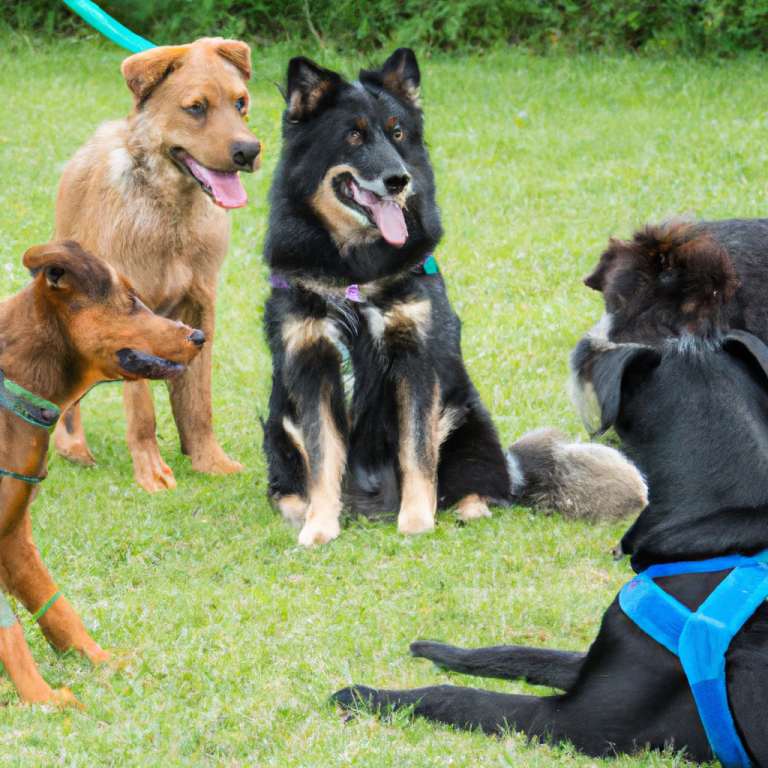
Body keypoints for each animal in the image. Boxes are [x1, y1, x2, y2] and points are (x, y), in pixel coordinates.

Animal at [0, 242, 202, 708]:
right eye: (130, 301)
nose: (199, 336)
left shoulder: (14, 535)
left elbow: (55, 606)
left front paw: (101, 661)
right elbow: (9, 630)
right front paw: (42, 699)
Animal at [260, 48, 644, 544]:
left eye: (397, 132)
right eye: (353, 136)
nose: (399, 180)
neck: (356, 276)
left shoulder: (417, 360)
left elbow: (417, 451)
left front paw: (415, 523)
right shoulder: (312, 363)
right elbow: (324, 455)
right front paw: (320, 527)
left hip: (467, 419)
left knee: (482, 485)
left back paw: (469, 508)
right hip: (278, 424)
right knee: (288, 485)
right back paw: (300, 510)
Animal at [332, 332, 768, 760]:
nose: (586, 346)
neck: (712, 533)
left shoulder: (576, 720)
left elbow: (457, 696)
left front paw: (368, 695)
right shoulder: (590, 664)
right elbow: (519, 653)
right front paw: (438, 651)